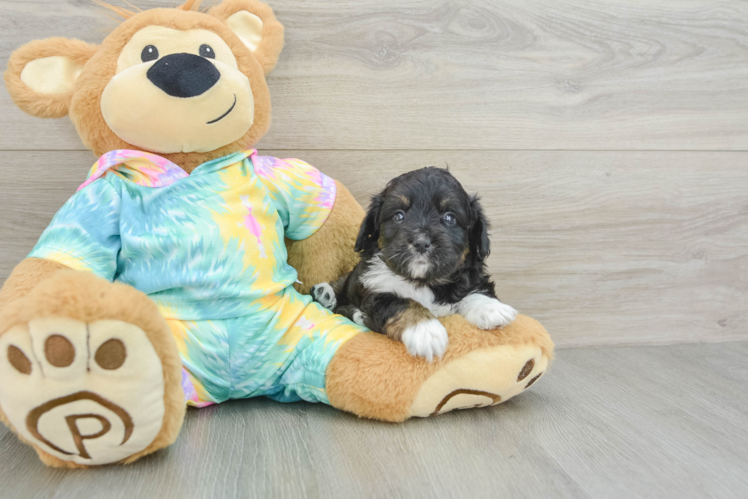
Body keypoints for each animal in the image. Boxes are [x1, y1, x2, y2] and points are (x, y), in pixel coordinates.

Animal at [310, 167, 516, 360]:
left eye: (449, 217)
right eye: (399, 216)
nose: (421, 242)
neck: (421, 280)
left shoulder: (468, 277)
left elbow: (469, 291)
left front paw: (491, 308)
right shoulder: (374, 291)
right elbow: (402, 302)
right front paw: (426, 331)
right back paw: (325, 293)